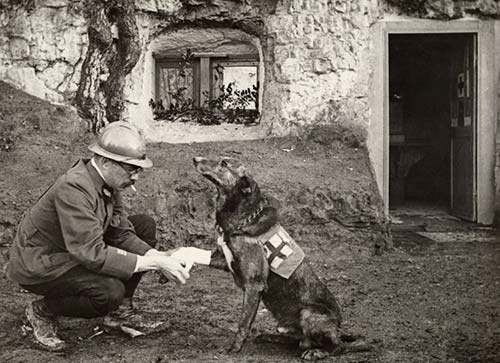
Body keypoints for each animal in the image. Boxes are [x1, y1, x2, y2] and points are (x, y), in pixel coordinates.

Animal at [193, 156, 370, 362]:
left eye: (224, 164)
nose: (195, 158)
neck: (243, 218)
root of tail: (339, 328)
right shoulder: (224, 259)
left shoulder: (254, 285)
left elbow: (243, 323)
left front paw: (234, 348)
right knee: (299, 340)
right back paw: (271, 337)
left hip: (309, 313)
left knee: (337, 346)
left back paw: (316, 352)